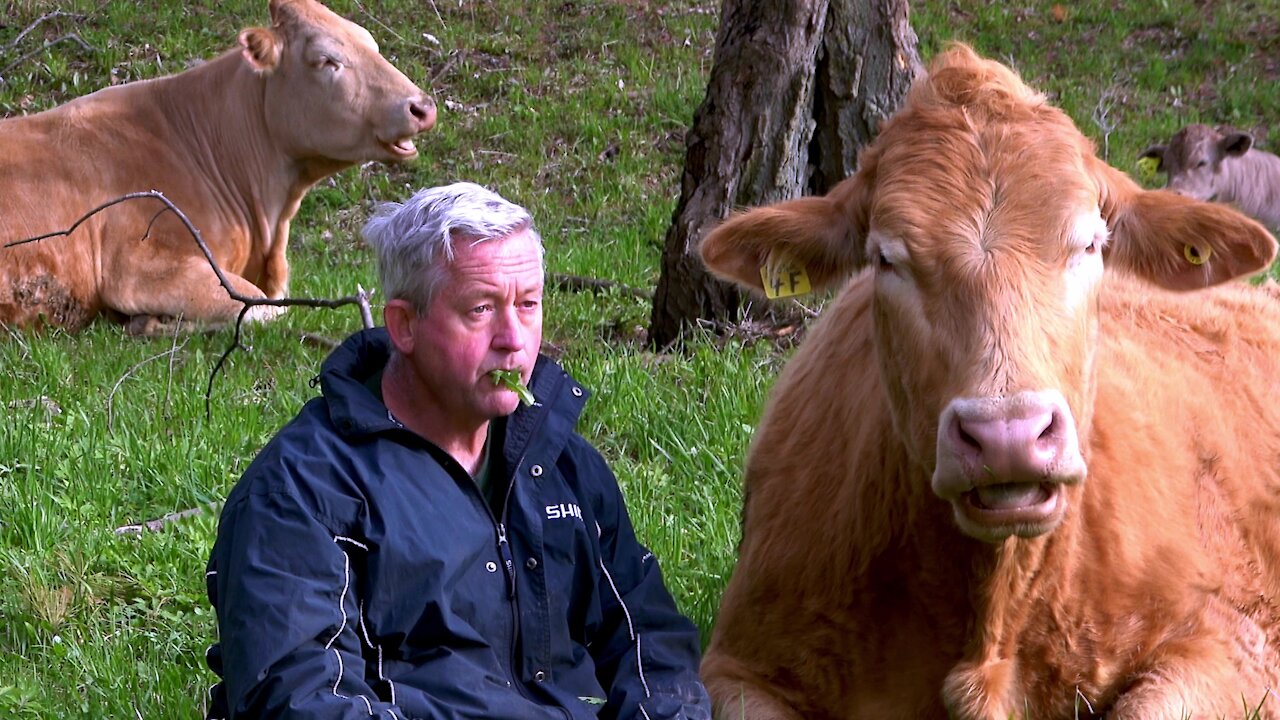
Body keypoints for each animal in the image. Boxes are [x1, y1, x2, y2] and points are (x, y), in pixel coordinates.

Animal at [0, 0, 435, 330]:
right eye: (327, 60)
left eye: (372, 45)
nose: (422, 107)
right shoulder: (138, 265)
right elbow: (260, 309)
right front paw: (153, 324)